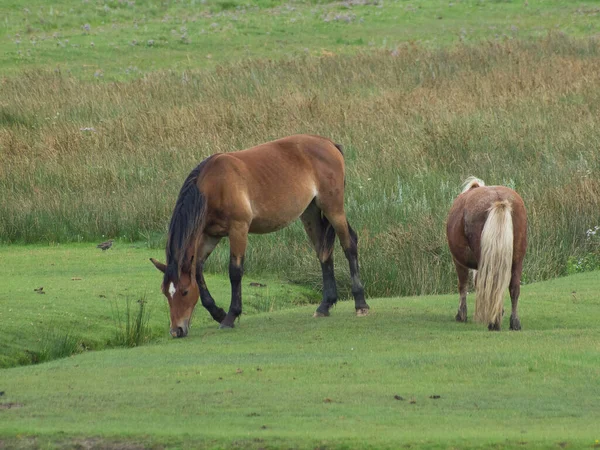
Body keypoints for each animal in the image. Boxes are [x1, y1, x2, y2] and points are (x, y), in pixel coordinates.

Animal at [150, 134, 370, 338]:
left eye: (184, 292)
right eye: (165, 292)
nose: (176, 331)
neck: (214, 185)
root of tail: (328, 143)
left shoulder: (238, 229)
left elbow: (235, 272)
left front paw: (230, 316)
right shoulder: (210, 235)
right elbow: (198, 270)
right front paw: (218, 313)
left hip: (333, 209)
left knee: (349, 244)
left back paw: (360, 304)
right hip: (311, 213)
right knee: (324, 253)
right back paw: (324, 306)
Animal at [446, 178, 524, 330]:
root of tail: (499, 199)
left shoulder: (458, 261)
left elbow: (463, 285)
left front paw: (461, 314)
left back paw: (494, 322)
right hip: (518, 257)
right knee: (514, 287)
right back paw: (514, 322)